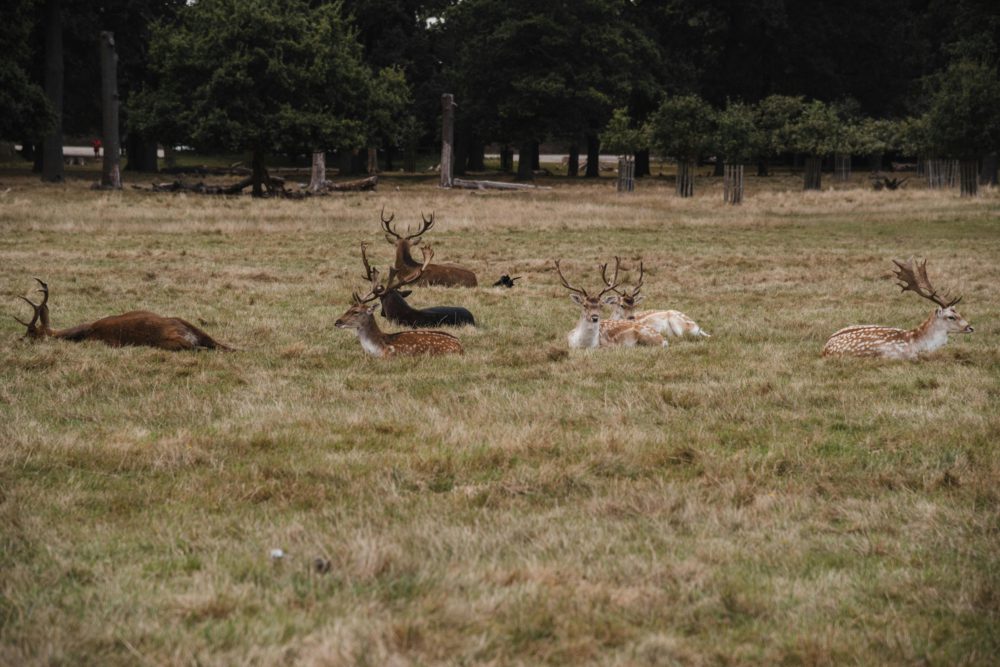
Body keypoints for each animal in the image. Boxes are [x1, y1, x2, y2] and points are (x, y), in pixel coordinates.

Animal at [13, 278, 232, 352]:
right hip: (190, 325)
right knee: (222, 345)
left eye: (31, 333)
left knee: (196, 347)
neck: (84, 332)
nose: (19, 339)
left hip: (168, 341)